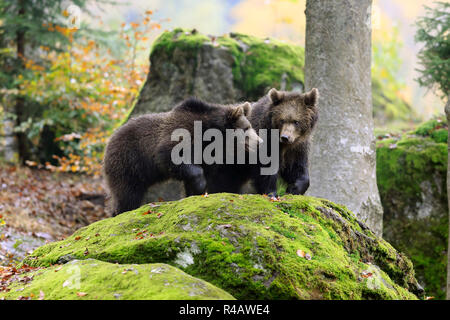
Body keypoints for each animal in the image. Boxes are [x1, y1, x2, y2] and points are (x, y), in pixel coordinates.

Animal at [103, 99, 260, 216]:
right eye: (246, 128)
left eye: (249, 126)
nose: (260, 141)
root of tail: (110, 140)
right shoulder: (180, 137)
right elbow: (171, 157)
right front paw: (201, 185)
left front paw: (195, 193)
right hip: (129, 162)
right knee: (127, 193)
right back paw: (120, 211)